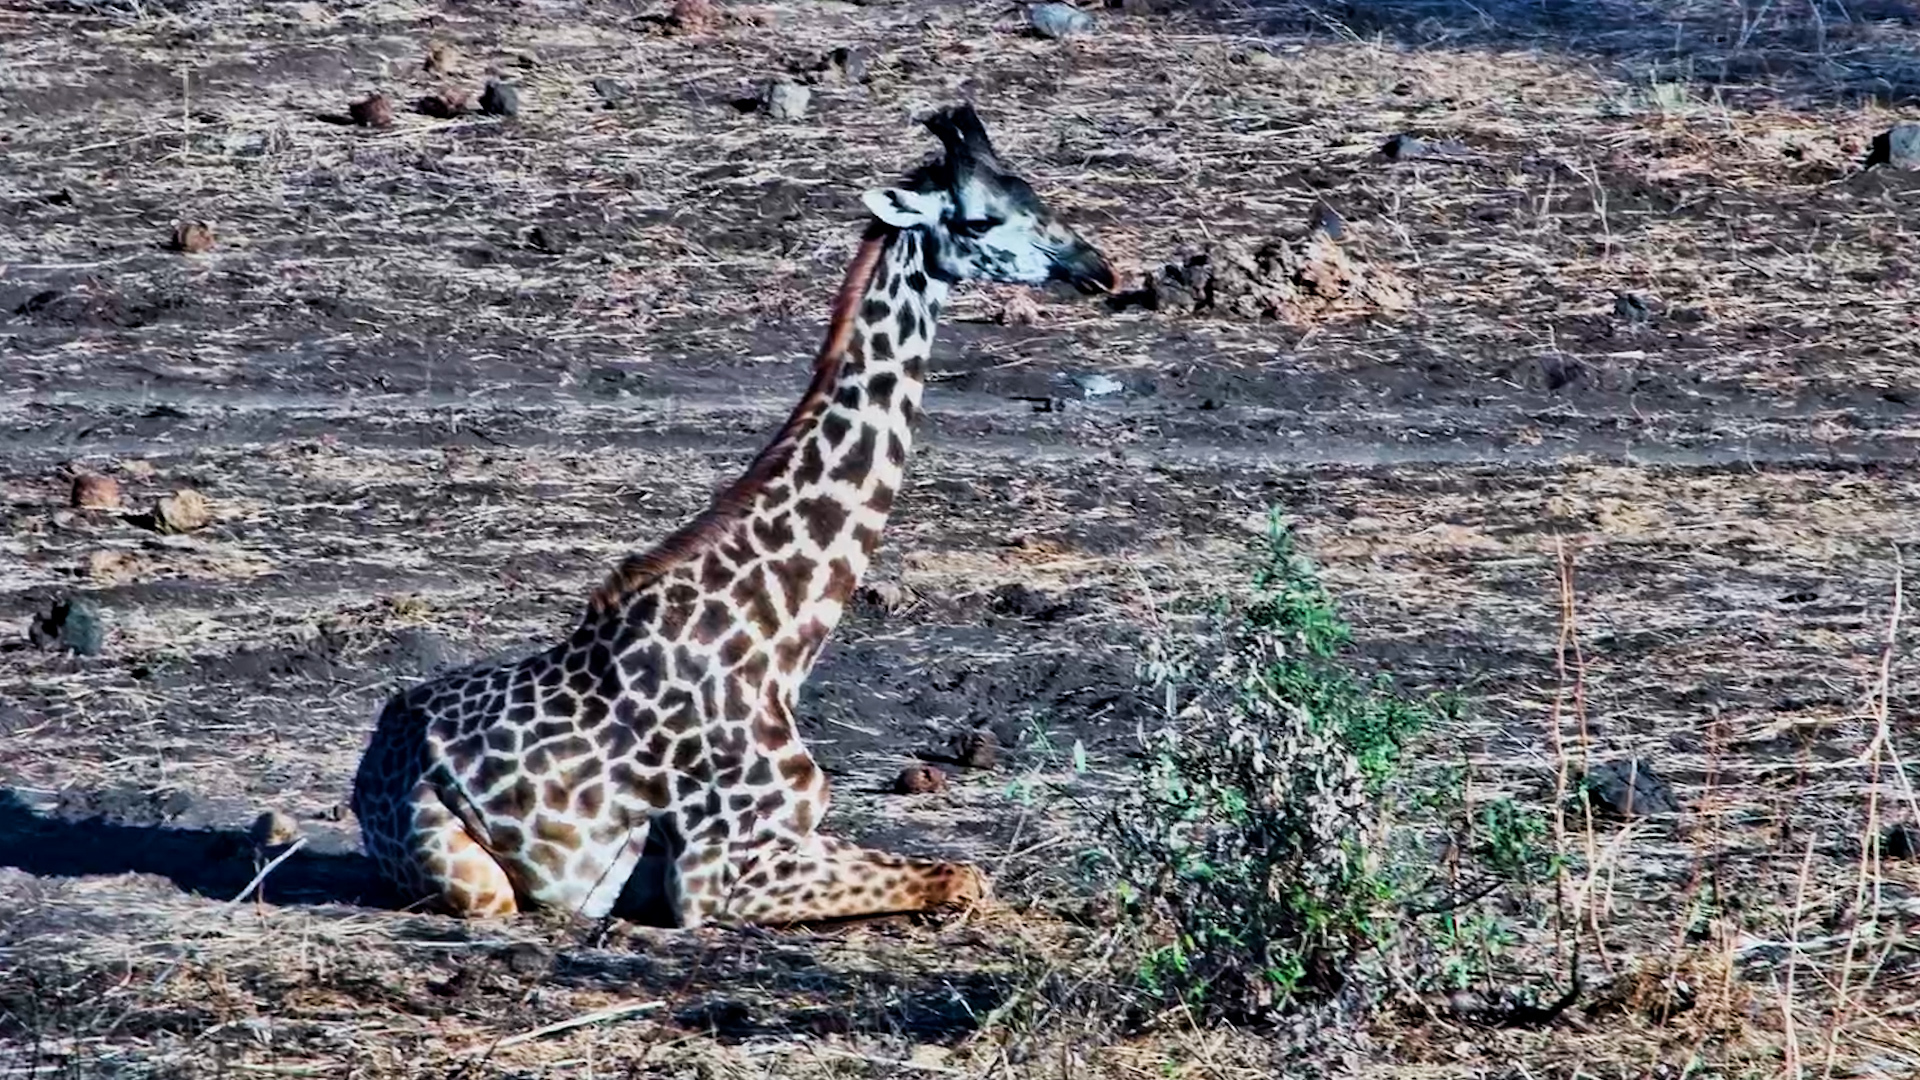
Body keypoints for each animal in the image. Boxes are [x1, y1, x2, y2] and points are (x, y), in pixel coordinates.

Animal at [349, 104, 1115, 927]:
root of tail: (371, 761)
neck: (778, 639)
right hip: (479, 883)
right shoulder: (714, 878)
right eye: (980, 218)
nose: (1098, 267)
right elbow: (963, 875)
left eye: (1031, 192)